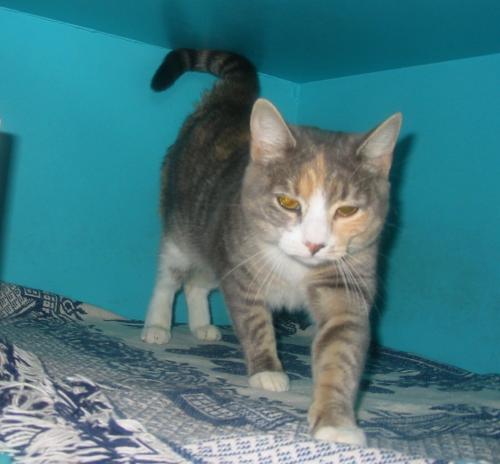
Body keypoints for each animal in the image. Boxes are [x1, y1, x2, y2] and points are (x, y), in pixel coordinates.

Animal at [142, 49, 402, 445]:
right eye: (288, 202)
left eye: (346, 210)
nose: (314, 244)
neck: (298, 268)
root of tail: (229, 103)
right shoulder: (242, 270)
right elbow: (254, 322)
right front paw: (267, 370)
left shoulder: (345, 281)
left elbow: (340, 348)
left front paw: (336, 421)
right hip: (184, 225)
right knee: (170, 276)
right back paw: (157, 325)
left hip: (216, 246)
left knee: (198, 283)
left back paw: (202, 325)